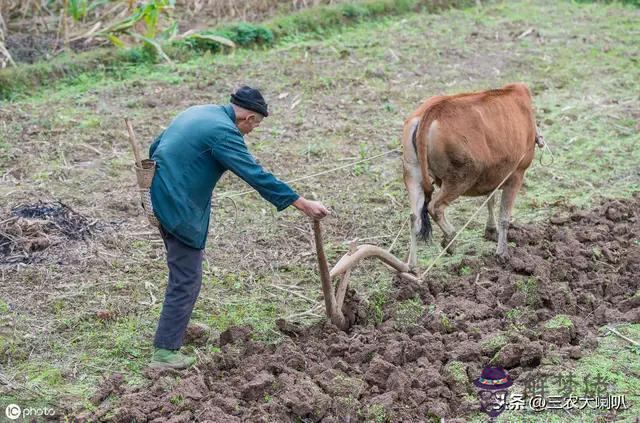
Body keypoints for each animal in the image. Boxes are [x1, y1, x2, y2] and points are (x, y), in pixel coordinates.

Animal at [404, 82, 540, 264]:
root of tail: (432, 111)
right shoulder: (517, 174)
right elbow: (504, 217)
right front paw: (502, 253)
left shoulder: (494, 173)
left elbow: (490, 200)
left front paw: (491, 231)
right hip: (460, 178)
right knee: (435, 207)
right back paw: (450, 239)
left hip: (412, 174)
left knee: (414, 216)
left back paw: (411, 265)